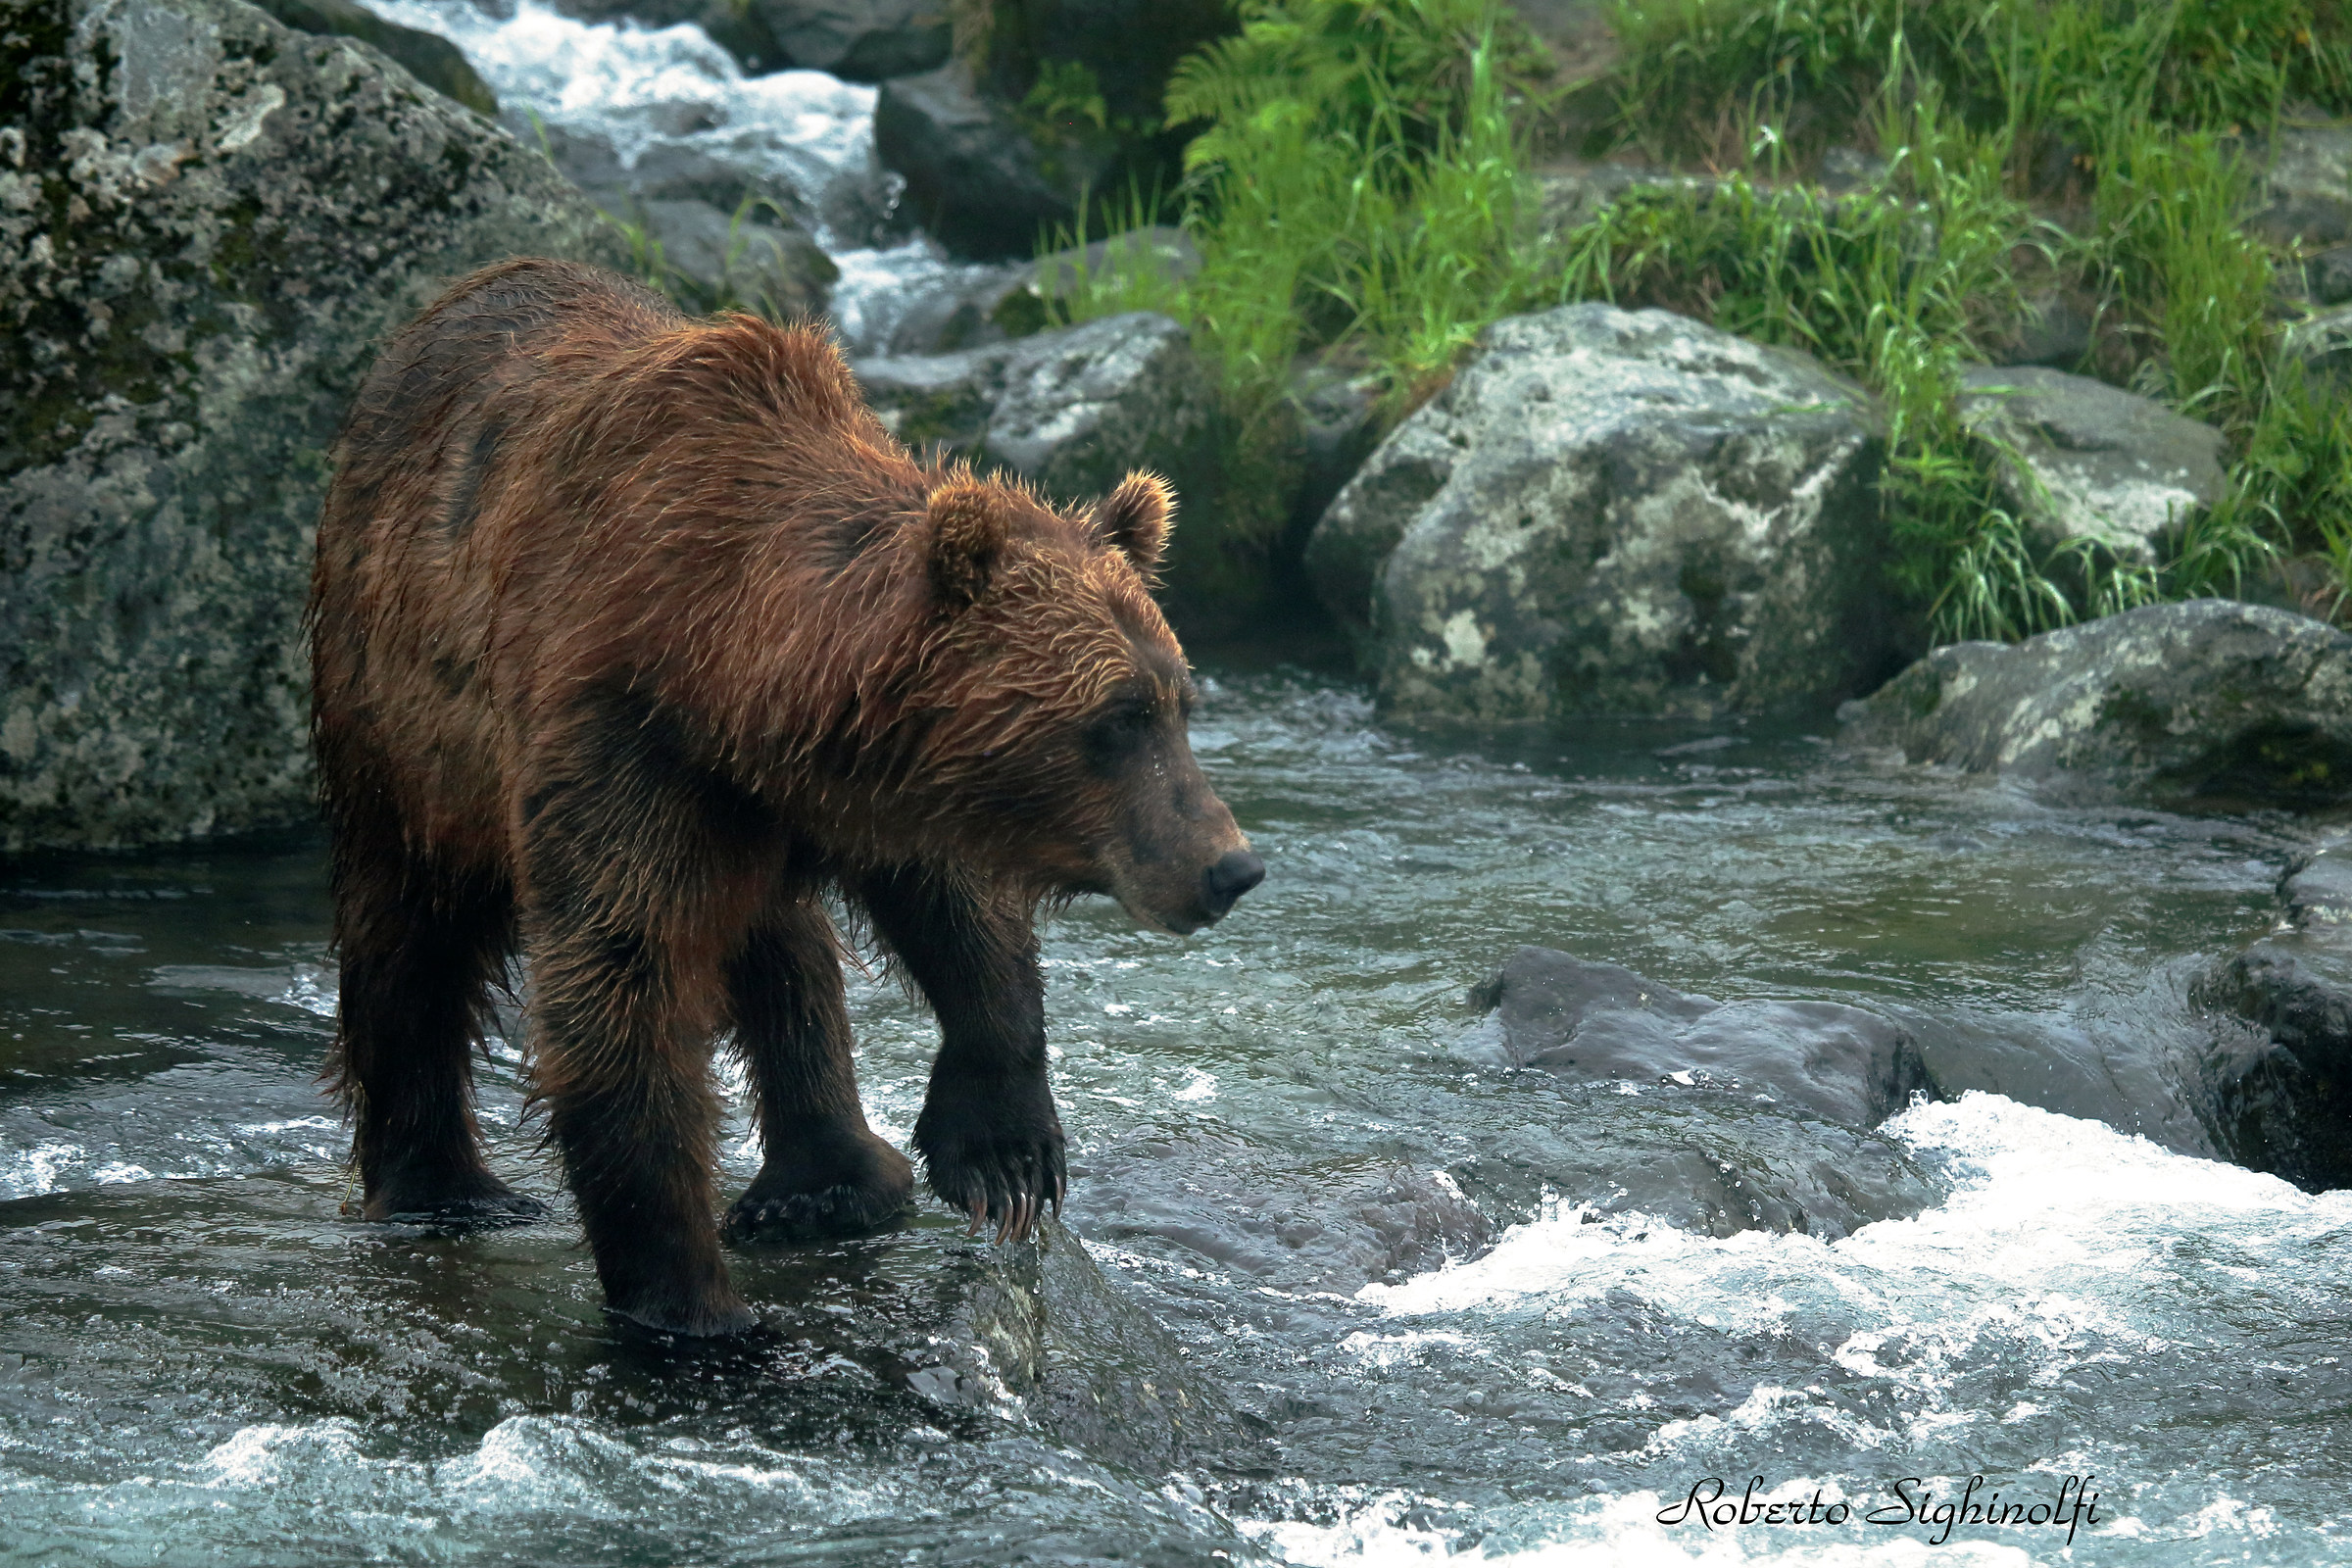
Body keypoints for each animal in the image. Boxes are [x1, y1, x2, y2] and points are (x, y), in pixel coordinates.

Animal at [307, 257, 1263, 1336]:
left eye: (1178, 700)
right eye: (1115, 717)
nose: (1228, 865)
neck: (737, 663)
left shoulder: (870, 783)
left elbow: (963, 916)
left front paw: (1007, 1152)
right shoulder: (619, 735)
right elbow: (620, 978)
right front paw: (690, 1305)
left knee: (785, 948)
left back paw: (827, 1179)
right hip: (398, 724)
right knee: (408, 935)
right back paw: (444, 1189)